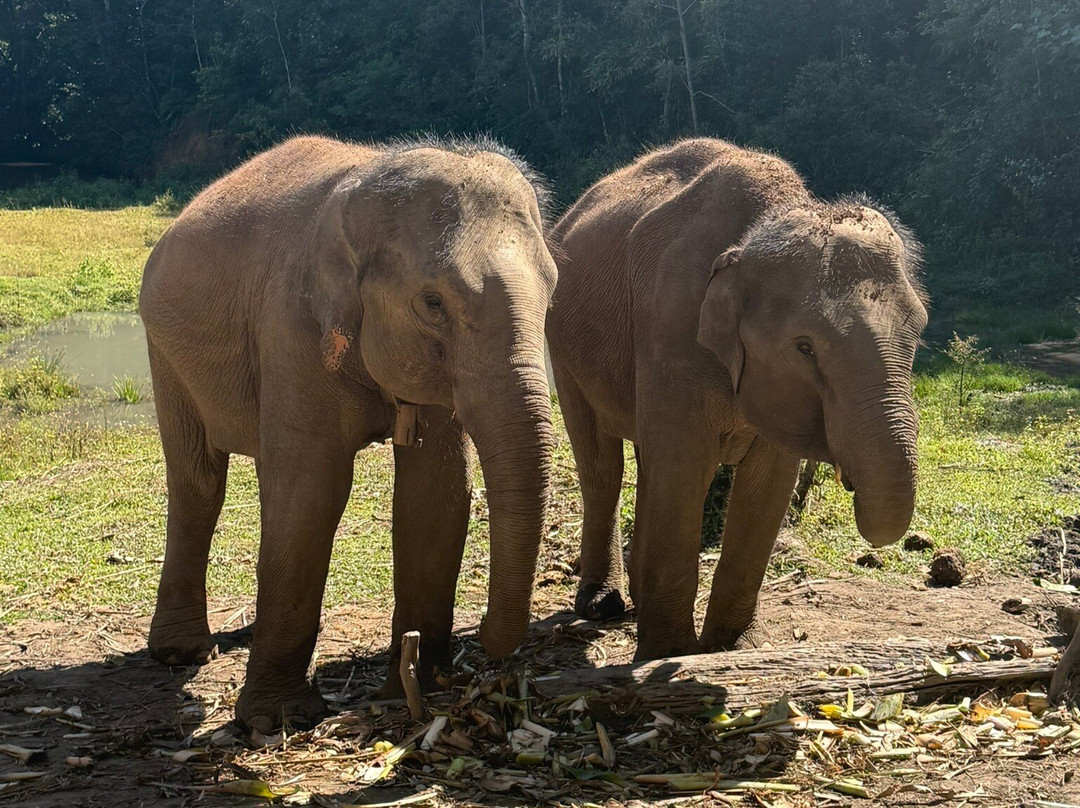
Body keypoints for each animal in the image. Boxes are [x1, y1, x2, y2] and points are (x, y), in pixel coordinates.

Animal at [139, 135, 557, 733]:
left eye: (553, 291)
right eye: (433, 303)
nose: (481, 641)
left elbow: (435, 495)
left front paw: (412, 688)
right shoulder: (291, 327)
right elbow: (311, 492)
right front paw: (278, 720)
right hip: (164, 350)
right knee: (197, 480)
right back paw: (181, 654)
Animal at [546, 138, 928, 661]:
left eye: (919, 333)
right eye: (804, 348)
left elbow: (768, 482)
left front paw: (735, 649)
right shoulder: (670, 323)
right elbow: (684, 465)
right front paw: (670, 655)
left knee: (647, 462)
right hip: (562, 345)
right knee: (603, 464)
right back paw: (602, 605)